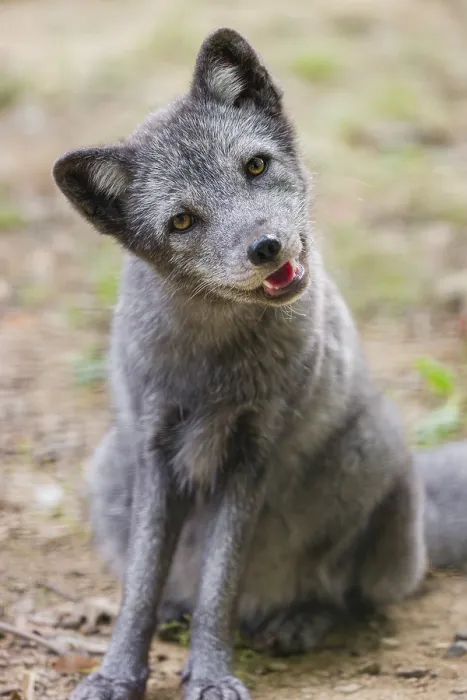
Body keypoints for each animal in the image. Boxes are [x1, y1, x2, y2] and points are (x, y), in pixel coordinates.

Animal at [52, 27, 467, 700]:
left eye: (255, 165)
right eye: (182, 221)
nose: (266, 247)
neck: (214, 368)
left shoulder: (251, 453)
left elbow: (221, 585)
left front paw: (212, 674)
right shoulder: (155, 450)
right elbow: (140, 586)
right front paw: (116, 673)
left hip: (373, 451)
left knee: (352, 596)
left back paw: (301, 619)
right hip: (110, 470)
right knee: (175, 587)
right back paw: (179, 611)